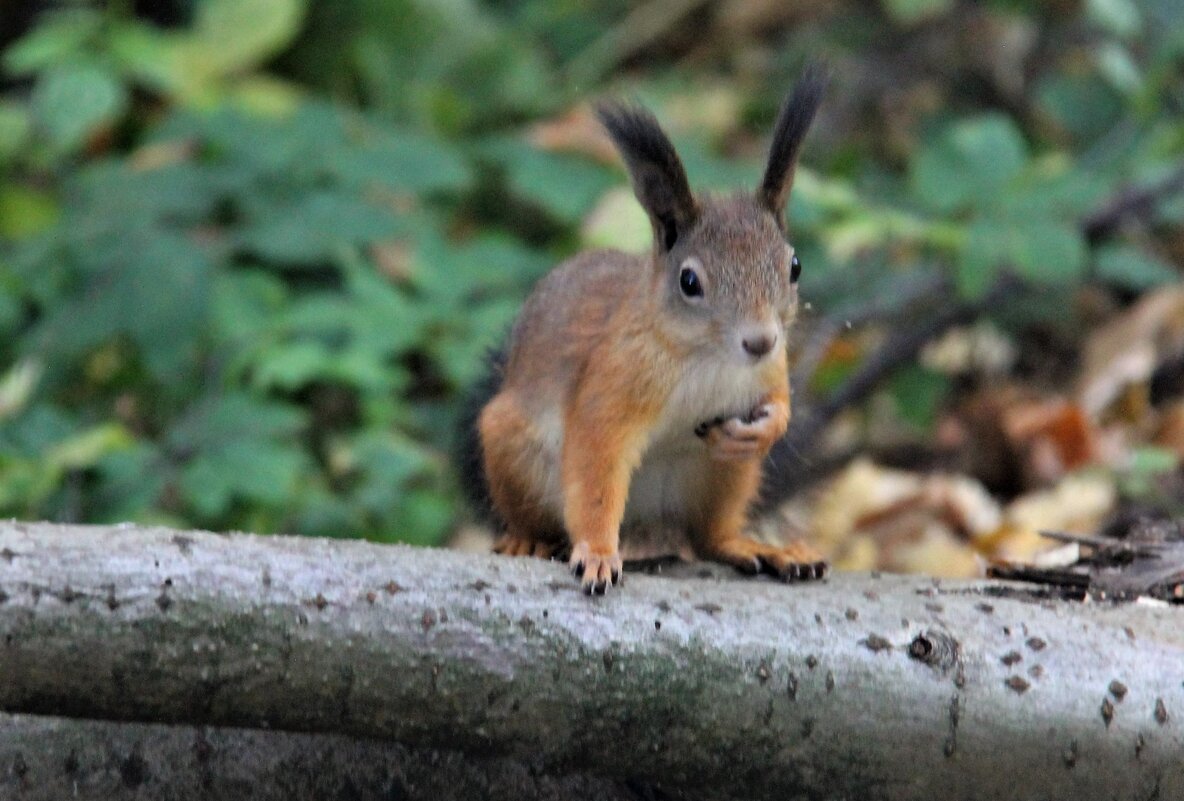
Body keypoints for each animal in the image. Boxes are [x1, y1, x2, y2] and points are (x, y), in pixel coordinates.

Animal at [457, 65, 828, 591]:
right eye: (689, 281)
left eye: (794, 266)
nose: (760, 340)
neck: (705, 357)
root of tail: (646, 524)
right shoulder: (612, 385)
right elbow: (596, 467)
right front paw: (596, 553)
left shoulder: (770, 370)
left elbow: (780, 405)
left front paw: (763, 428)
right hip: (512, 447)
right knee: (536, 517)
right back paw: (526, 540)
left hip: (722, 478)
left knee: (709, 536)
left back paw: (760, 549)